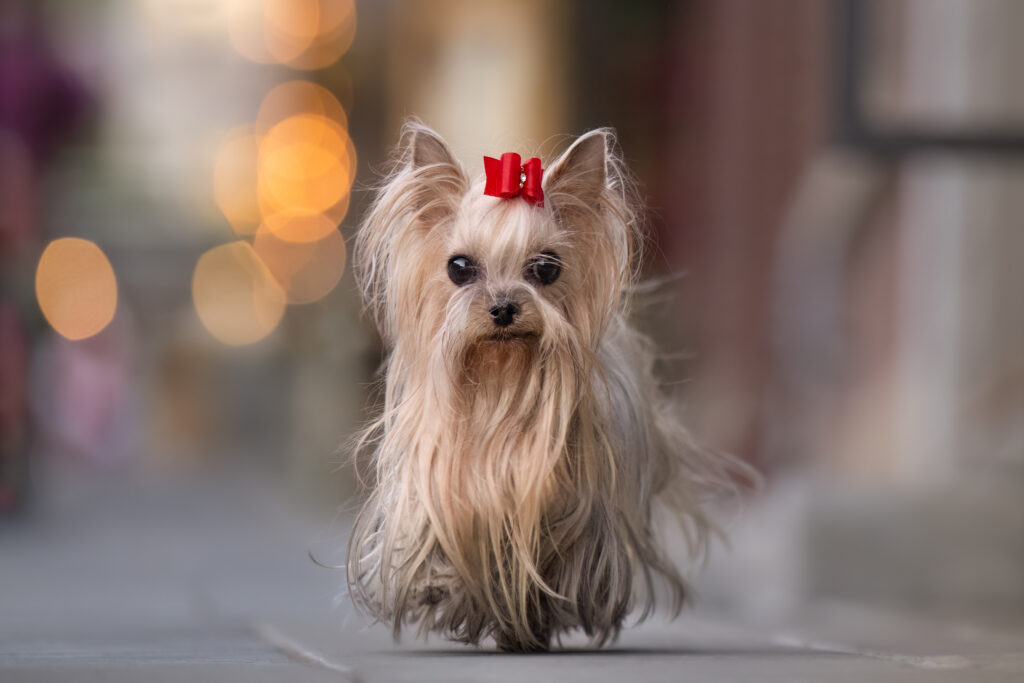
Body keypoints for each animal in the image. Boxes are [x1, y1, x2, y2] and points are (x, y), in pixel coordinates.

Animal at [348, 121, 741, 651]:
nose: (503, 307)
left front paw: (527, 622)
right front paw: (444, 588)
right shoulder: (438, 491)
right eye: (459, 267)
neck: (501, 385)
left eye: (546, 267)